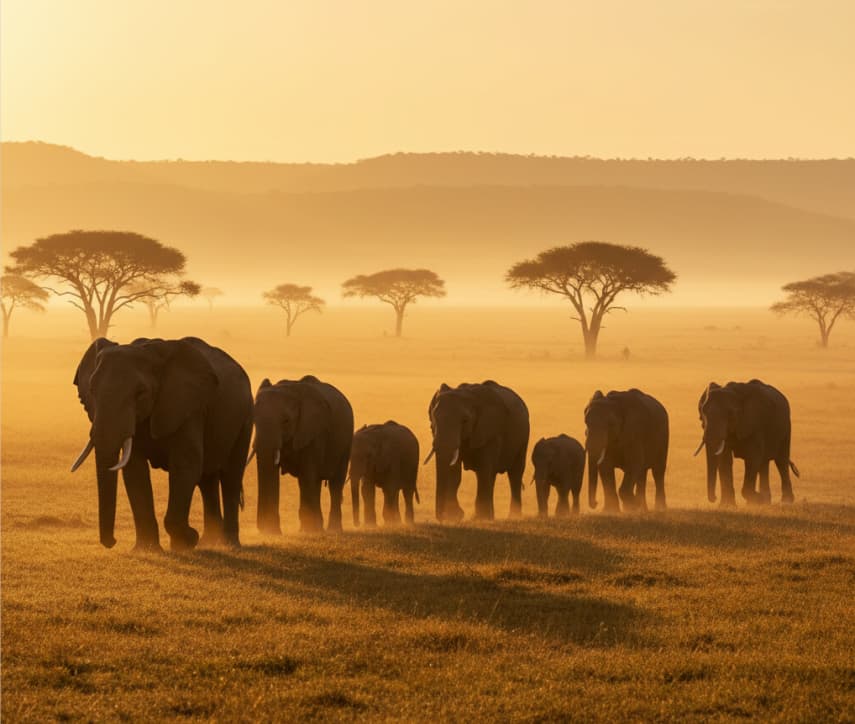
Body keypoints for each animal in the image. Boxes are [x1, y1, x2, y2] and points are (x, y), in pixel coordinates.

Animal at [71, 337, 253, 551]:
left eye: (140, 393)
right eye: (92, 390)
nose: (112, 542)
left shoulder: (189, 408)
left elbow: (185, 464)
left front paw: (187, 541)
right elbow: (134, 470)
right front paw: (145, 549)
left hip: (245, 415)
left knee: (231, 476)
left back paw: (229, 545)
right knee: (206, 480)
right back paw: (209, 542)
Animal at [251, 375, 353, 533]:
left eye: (286, 421)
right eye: (254, 420)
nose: (262, 528)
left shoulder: (314, 431)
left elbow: (307, 475)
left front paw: (309, 531)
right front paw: (271, 532)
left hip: (346, 441)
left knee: (335, 483)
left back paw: (331, 530)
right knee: (315, 482)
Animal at [426, 380, 529, 522]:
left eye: (465, 420)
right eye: (434, 418)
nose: (441, 518)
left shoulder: (491, 432)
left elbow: (484, 469)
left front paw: (478, 518)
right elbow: (454, 473)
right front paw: (454, 517)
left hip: (523, 438)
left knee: (514, 474)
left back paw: (512, 517)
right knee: (492, 475)